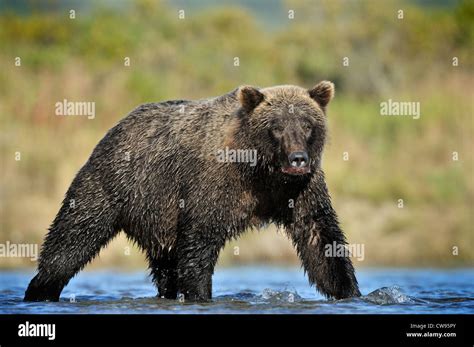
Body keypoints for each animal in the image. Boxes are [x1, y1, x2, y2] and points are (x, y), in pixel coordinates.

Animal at [24, 81, 360, 302]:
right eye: (276, 126)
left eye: (307, 125)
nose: (297, 159)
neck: (261, 172)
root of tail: (115, 127)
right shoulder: (212, 183)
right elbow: (199, 243)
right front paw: (201, 295)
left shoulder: (300, 190)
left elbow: (320, 239)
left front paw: (350, 292)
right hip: (112, 185)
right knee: (72, 238)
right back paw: (40, 289)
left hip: (157, 217)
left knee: (164, 266)